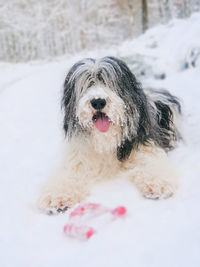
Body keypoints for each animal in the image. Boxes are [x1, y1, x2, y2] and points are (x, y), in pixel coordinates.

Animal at [38, 57, 181, 216]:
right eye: (88, 83)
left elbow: (150, 163)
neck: (106, 140)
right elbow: (68, 174)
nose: (98, 101)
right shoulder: (78, 157)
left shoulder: (144, 146)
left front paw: (158, 183)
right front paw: (57, 197)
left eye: (108, 81)